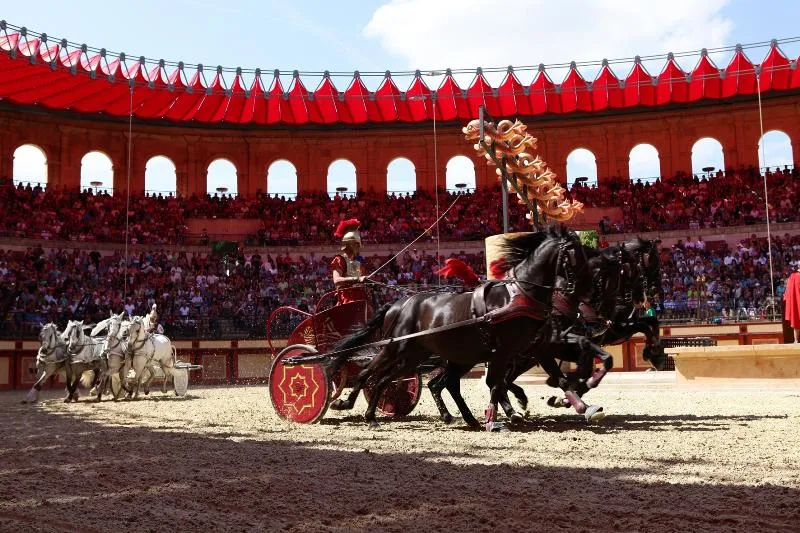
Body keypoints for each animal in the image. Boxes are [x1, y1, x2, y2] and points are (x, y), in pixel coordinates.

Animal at [324, 224, 592, 428]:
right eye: (574, 255)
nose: (583, 291)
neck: (520, 295)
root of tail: (398, 304)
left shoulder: (537, 349)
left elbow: (560, 379)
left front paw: (584, 407)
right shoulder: (504, 351)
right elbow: (496, 384)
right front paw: (498, 417)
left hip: (422, 356)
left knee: (396, 381)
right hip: (397, 349)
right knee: (369, 373)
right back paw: (351, 406)